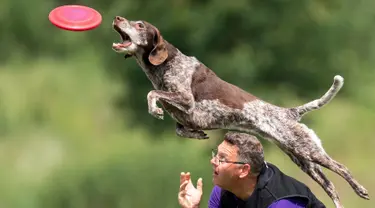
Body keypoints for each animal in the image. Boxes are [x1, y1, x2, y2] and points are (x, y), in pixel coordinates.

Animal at [111, 15, 370, 206]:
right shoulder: (184, 115)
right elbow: (178, 128)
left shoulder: (185, 100)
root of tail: (290, 112)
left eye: (140, 25)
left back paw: (361, 190)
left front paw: (155, 110)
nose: (117, 17)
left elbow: (151, 94)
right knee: (330, 185)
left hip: (309, 151)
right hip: (301, 158)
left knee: (341, 169)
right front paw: (195, 134)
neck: (163, 67)